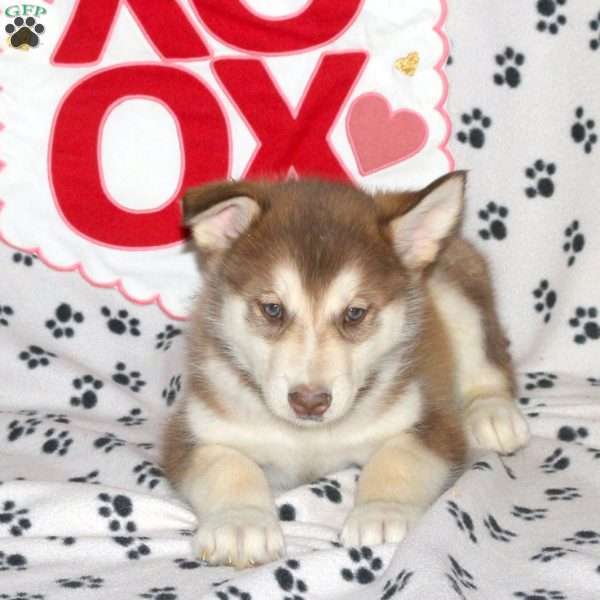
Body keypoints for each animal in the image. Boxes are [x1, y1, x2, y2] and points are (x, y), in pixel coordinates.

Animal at [162, 172, 528, 568]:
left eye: (354, 313)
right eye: (273, 309)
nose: (309, 401)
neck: (308, 440)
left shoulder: (428, 419)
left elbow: (400, 457)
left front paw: (381, 511)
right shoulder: (194, 428)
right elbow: (227, 466)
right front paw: (241, 523)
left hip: (458, 295)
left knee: (489, 363)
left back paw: (493, 414)